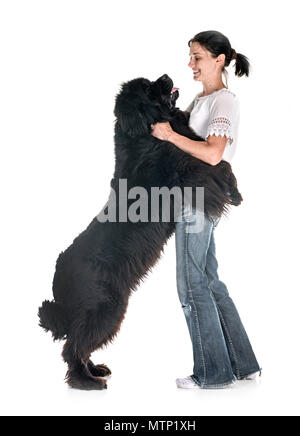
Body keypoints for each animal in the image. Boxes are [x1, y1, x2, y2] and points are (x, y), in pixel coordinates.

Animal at [38, 73, 243, 390]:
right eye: (148, 88)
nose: (166, 76)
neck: (146, 133)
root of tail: (58, 278)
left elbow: (221, 163)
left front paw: (235, 193)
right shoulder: (184, 173)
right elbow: (214, 166)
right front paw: (232, 193)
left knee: (79, 343)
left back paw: (95, 369)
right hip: (105, 308)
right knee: (72, 347)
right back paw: (87, 381)